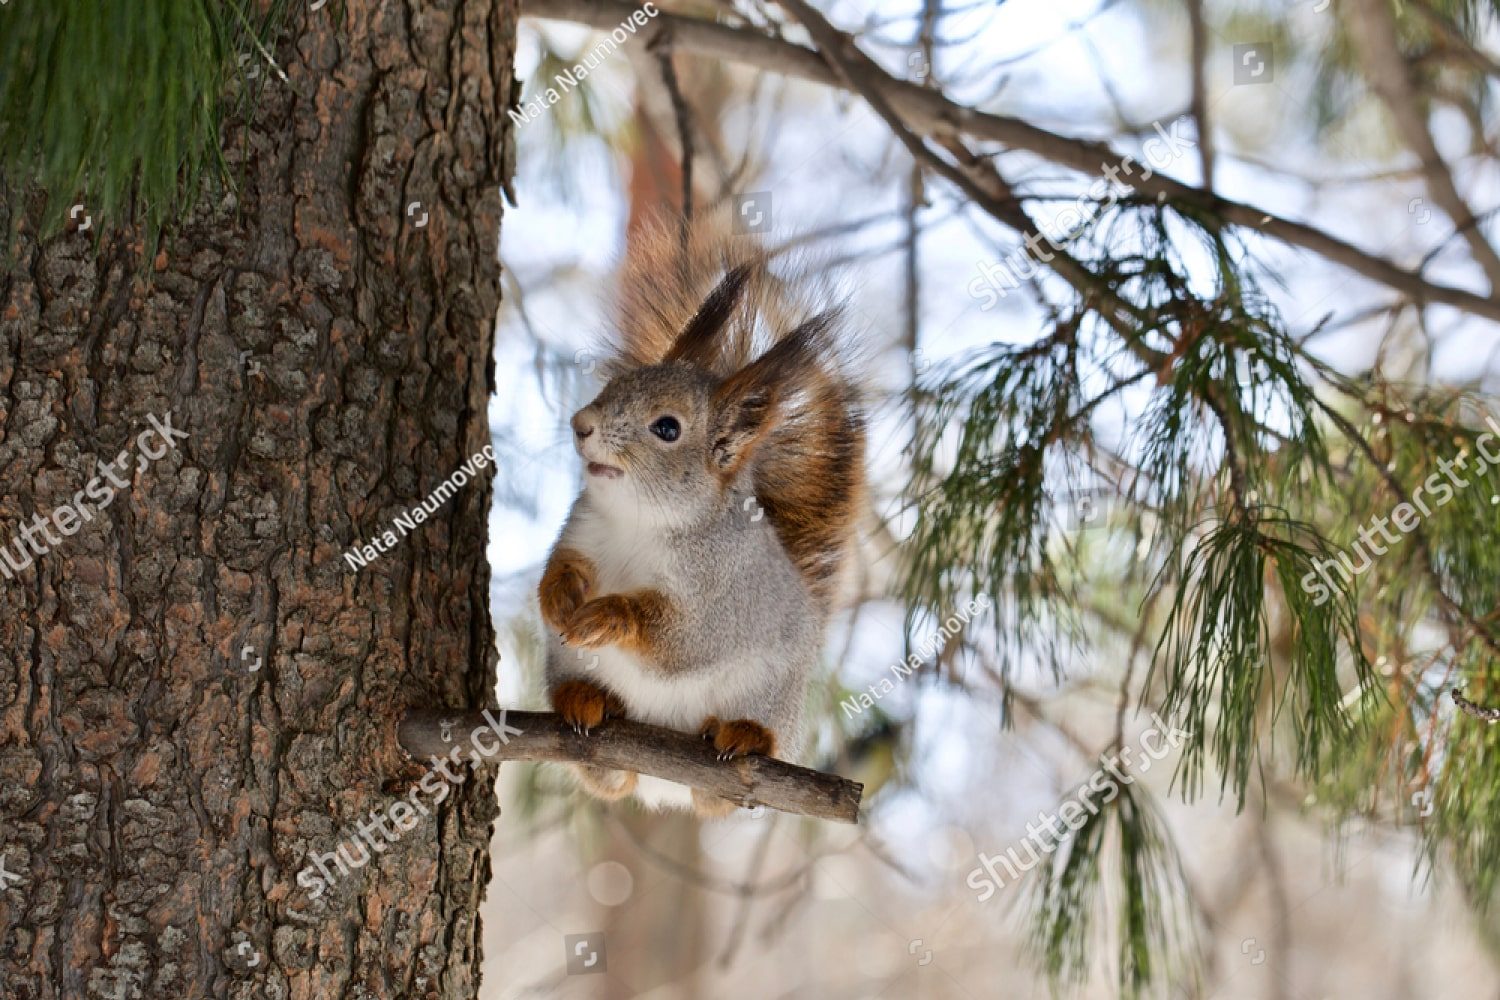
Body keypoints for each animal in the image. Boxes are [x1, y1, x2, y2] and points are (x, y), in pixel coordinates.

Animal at [537, 213, 865, 818]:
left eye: (667, 427)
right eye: (614, 385)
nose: (581, 424)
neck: (641, 521)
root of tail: (662, 786)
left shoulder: (721, 595)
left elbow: (682, 639)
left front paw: (609, 616)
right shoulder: (582, 529)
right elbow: (564, 563)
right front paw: (559, 594)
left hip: (768, 698)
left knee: (721, 796)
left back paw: (743, 736)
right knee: (608, 780)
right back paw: (586, 699)